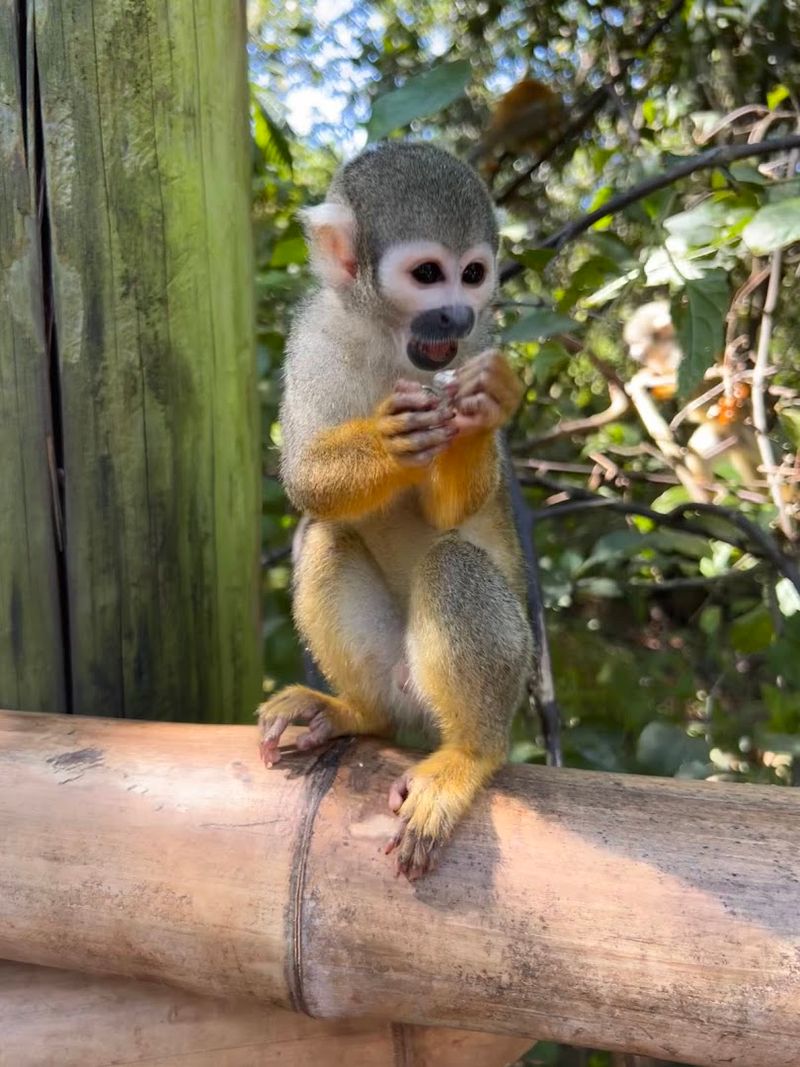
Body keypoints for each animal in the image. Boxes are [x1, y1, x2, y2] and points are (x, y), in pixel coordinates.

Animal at [257, 142, 533, 881]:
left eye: (473, 275)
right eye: (428, 274)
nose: (457, 315)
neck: (388, 341)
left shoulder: (479, 346)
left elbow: (450, 514)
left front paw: (483, 406)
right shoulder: (315, 335)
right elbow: (306, 482)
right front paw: (390, 440)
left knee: (453, 563)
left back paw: (469, 754)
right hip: (392, 676)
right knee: (325, 535)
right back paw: (358, 713)